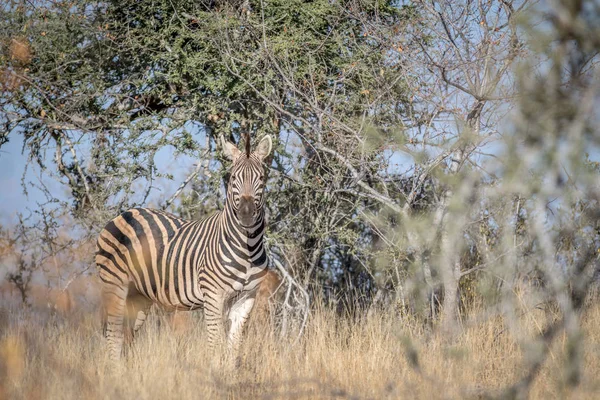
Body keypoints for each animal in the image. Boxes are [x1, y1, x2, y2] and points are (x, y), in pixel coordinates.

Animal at [96, 134, 274, 362]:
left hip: (138, 295)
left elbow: (233, 347)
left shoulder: (246, 298)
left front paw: (229, 370)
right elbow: (214, 344)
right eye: (233, 178)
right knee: (114, 335)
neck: (247, 247)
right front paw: (214, 371)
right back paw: (115, 370)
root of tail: (125, 213)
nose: (246, 214)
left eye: (261, 178)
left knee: (126, 337)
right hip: (114, 284)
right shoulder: (213, 295)